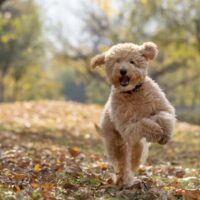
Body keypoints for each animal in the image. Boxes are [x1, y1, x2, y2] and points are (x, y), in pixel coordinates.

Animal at [90, 41, 175, 186]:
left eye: (132, 61)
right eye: (117, 61)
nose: (123, 70)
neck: (133, 92)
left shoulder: (162, 107)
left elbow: (164, 116)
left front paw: (165, 135)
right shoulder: (127, 126)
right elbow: (143, 124)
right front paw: (157, 132)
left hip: (136, 145)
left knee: (135, 156)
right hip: (117, 142)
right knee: (122, 162)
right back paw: (123, 179)